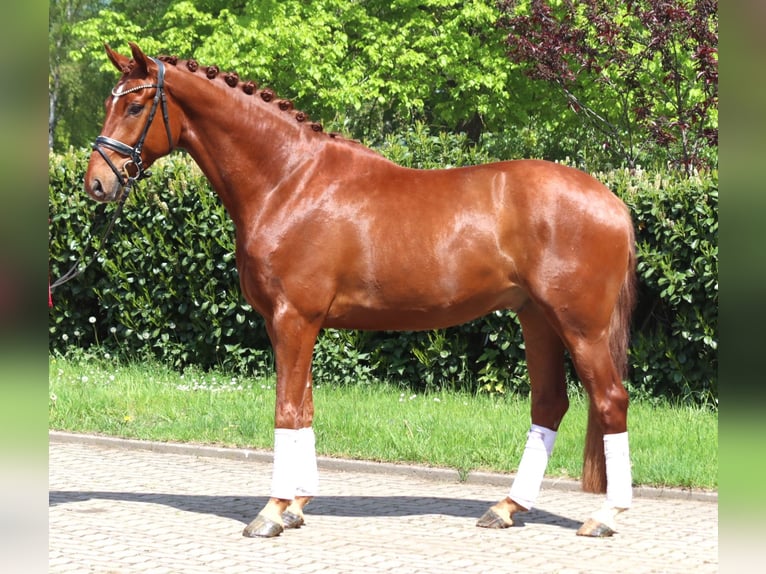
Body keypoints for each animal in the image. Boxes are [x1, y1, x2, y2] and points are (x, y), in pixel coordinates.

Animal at [85, 43, 637, 539]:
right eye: (109, 103)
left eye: (135, 106)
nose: (96, 183)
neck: (289, 181)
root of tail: (613, 203)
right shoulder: (297, 324)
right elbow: (304, 408)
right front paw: (296, 505)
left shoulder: (292, 319)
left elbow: (286, 409)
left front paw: (271, 512)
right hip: (536, 318)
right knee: (549, 404)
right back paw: (506, 508)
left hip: (579, 326)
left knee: (610, 400)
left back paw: (606, 515)